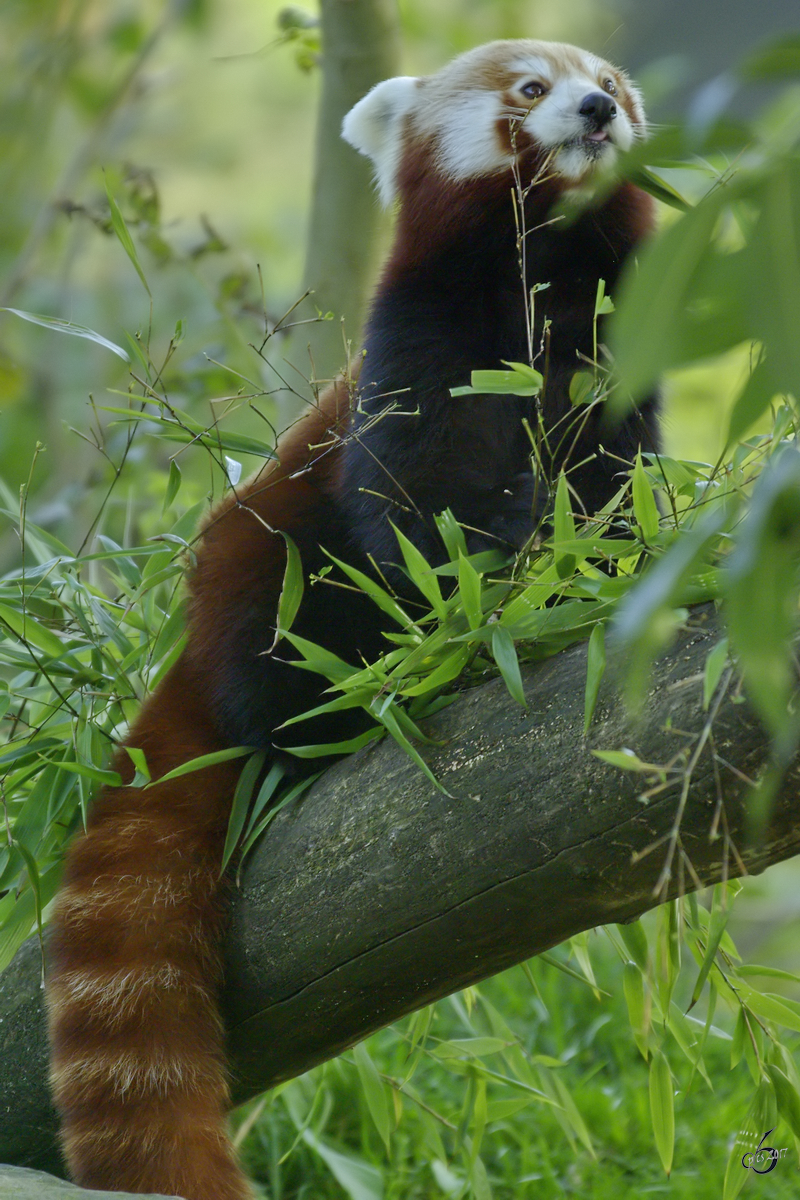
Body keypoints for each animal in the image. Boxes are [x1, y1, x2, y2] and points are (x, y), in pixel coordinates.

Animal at [45, 37, 657, 1200]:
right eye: (529, 87)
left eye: (608, 80)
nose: (598, 108)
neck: (539, 278)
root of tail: (189, 654)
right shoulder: (421, 348)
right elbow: (416, 505)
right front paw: (498, 573)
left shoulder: (614, 363)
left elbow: (621, 489)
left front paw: (586, 566)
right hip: (264, 573)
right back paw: (336, 713)